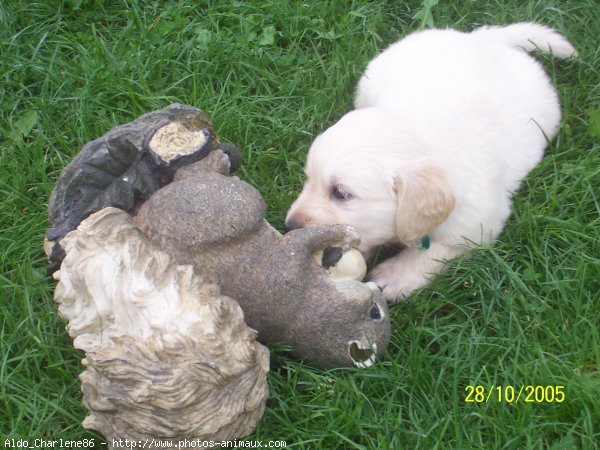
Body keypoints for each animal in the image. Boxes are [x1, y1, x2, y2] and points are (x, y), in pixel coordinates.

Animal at [286, 22, 576, 300]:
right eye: (308, 179)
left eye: (341, 193)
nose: (290, 226)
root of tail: (483, 39)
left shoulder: (479, 223)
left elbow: (436, 250)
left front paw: (396, 276)